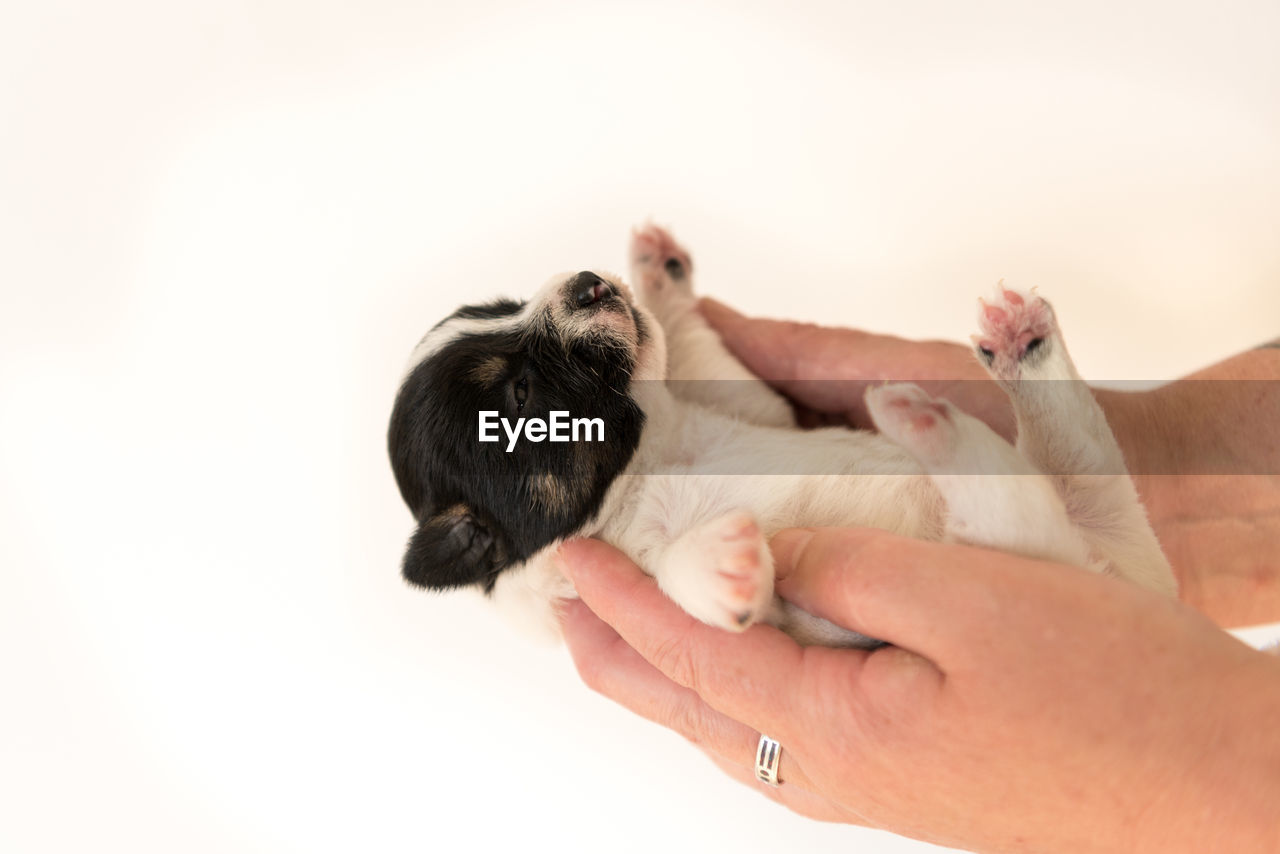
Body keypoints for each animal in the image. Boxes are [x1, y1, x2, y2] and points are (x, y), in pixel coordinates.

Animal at [389, 224, 1177, 645]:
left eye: (504, 304)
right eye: (519, 392)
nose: (591, 281)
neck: (658, 451)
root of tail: (1103, 574)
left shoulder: (749, 401)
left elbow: (696, 346)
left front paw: (660, 275)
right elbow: (681, 576)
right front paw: (725, 563)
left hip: (1094, 506)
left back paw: (1016, 347)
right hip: (1033, 546)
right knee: (1008, 503)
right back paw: (922, 420)